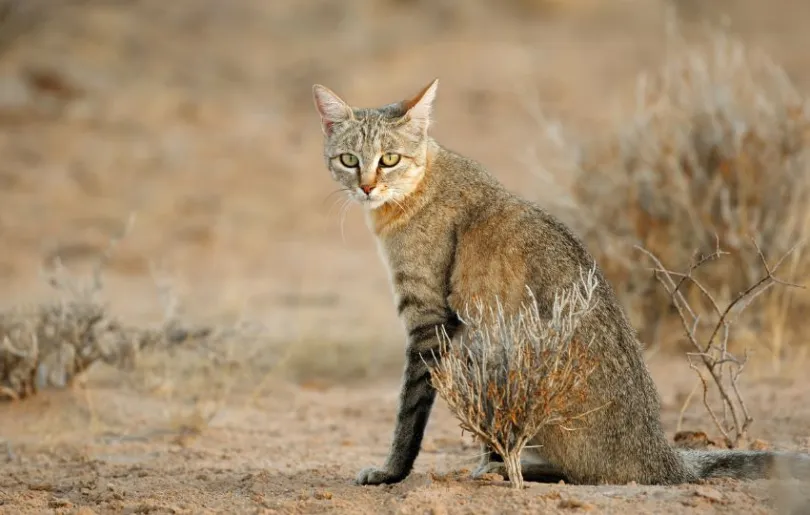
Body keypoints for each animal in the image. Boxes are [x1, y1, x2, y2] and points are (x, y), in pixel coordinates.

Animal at [310, 78, 808, 486]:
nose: (367, 187)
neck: (419, 186)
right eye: (349, 160)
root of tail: (663, 456)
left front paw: (391, 472)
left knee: (580, 472)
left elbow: (409, 413)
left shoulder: (428, 321)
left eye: (389, 159)